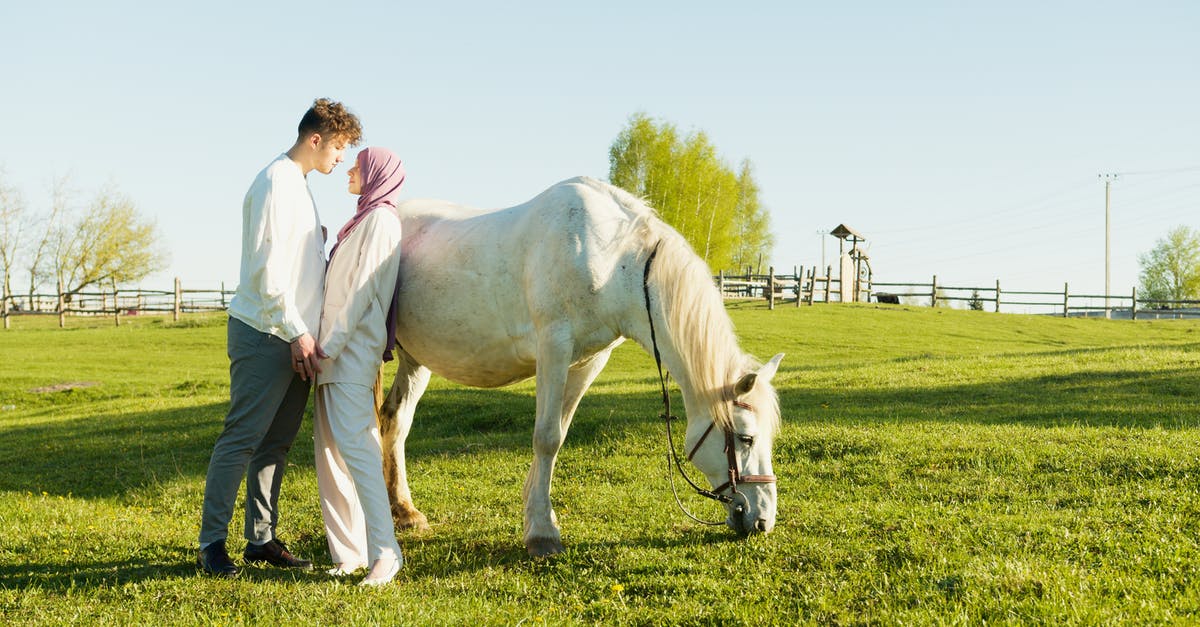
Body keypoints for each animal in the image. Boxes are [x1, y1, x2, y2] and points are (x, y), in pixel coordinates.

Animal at [377, 176, 784, 556]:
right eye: (746, 438)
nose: (763, 520)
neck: (614, 259)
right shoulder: (553, 349)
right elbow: (545, 437)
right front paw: (543, 533)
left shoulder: (587, 362)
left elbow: (558, 435)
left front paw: (537, 514)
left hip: (416, 359)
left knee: (395, 420)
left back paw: (405, 511)